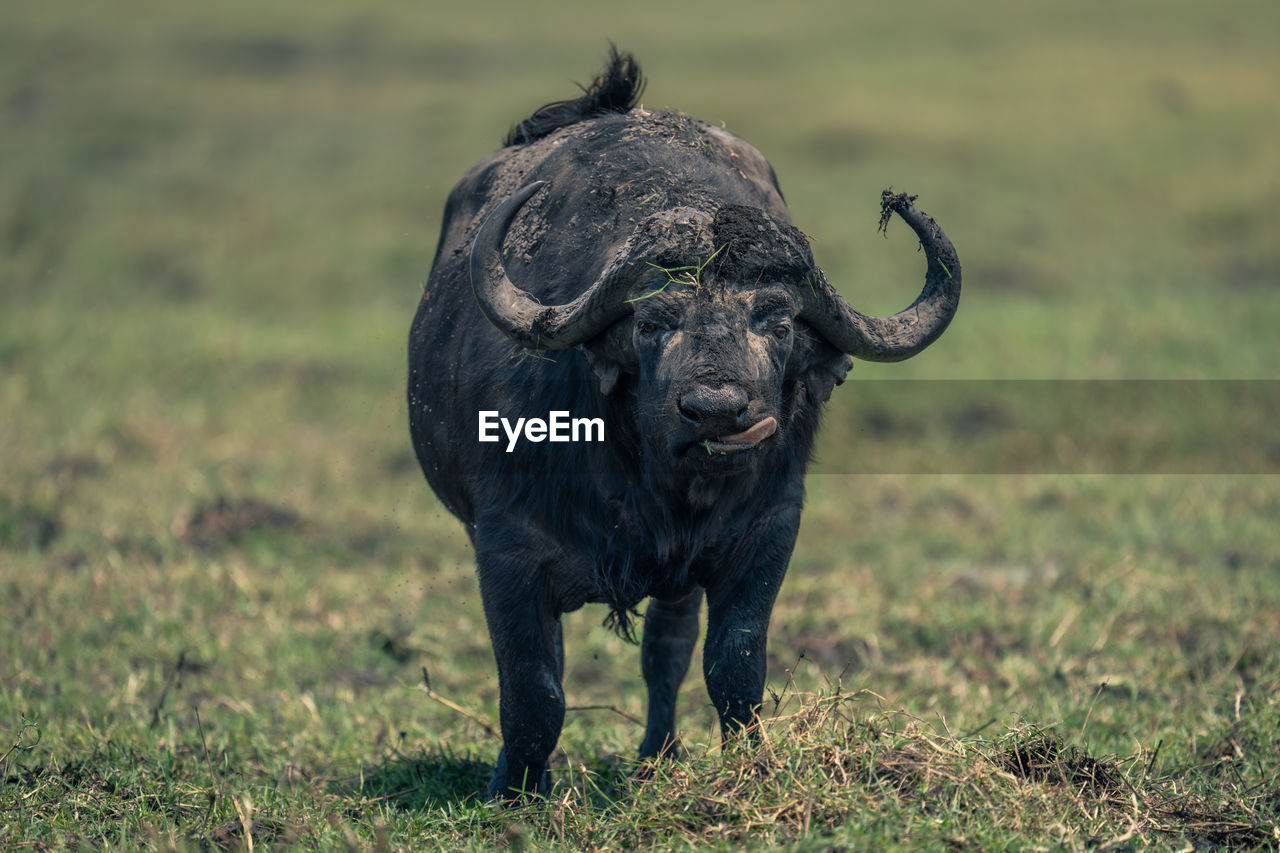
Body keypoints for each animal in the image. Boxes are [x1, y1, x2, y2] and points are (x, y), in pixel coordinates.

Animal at [409, 48, 962, 799]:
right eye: (652, 322)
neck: (655, 489)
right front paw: (513, 790)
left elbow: (734, 667)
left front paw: (749, 768)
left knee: (664, 653)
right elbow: (533, 686)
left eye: (778, 322)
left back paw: (659, 755)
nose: (717, 412)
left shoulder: (768, 532)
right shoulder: (503, 548)